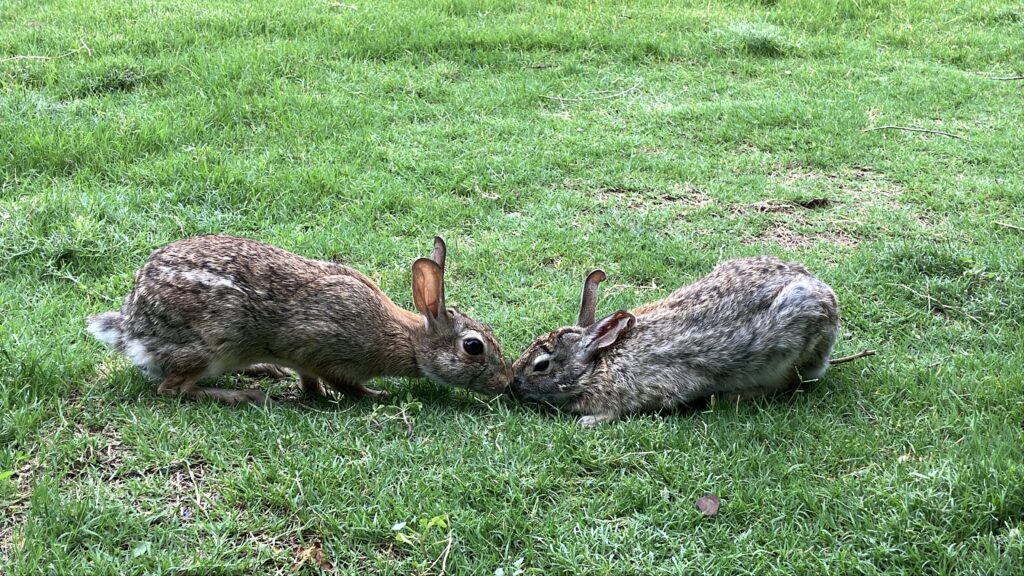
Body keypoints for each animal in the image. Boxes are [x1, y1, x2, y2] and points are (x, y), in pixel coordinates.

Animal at [87, 235, 511, 405]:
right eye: (473, 347)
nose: (505, 383)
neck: (408, 340)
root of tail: (131, 327)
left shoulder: (307, 360)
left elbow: (310, 380)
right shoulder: (327, 352)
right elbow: (343, 384)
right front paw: (378, 396)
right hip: (209, 346)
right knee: (173, 389)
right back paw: (245, 395)